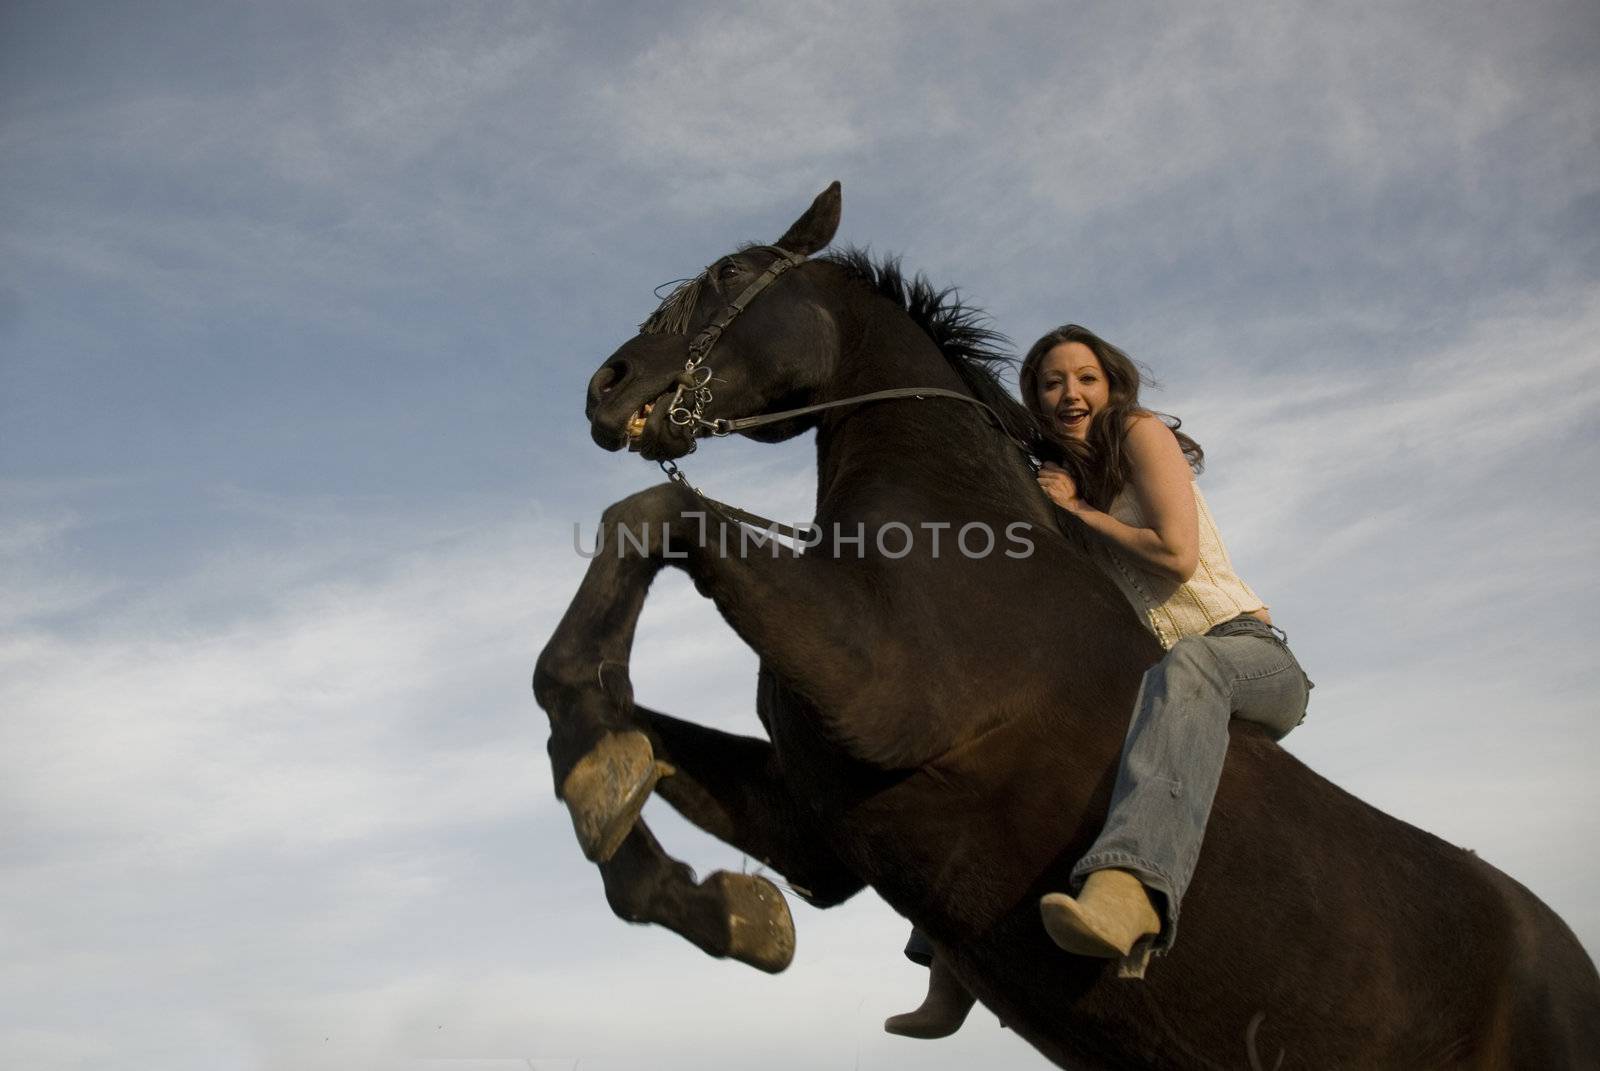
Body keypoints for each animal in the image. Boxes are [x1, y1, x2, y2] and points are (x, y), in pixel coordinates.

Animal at [537, 184, 1600, 1062]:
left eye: (727, 275)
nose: (604, 385)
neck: (955, 526)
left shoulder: (884, 694)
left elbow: (651, 518)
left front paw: (597, 782)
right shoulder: (815, 826)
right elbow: (648, 741)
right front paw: (728, 904)